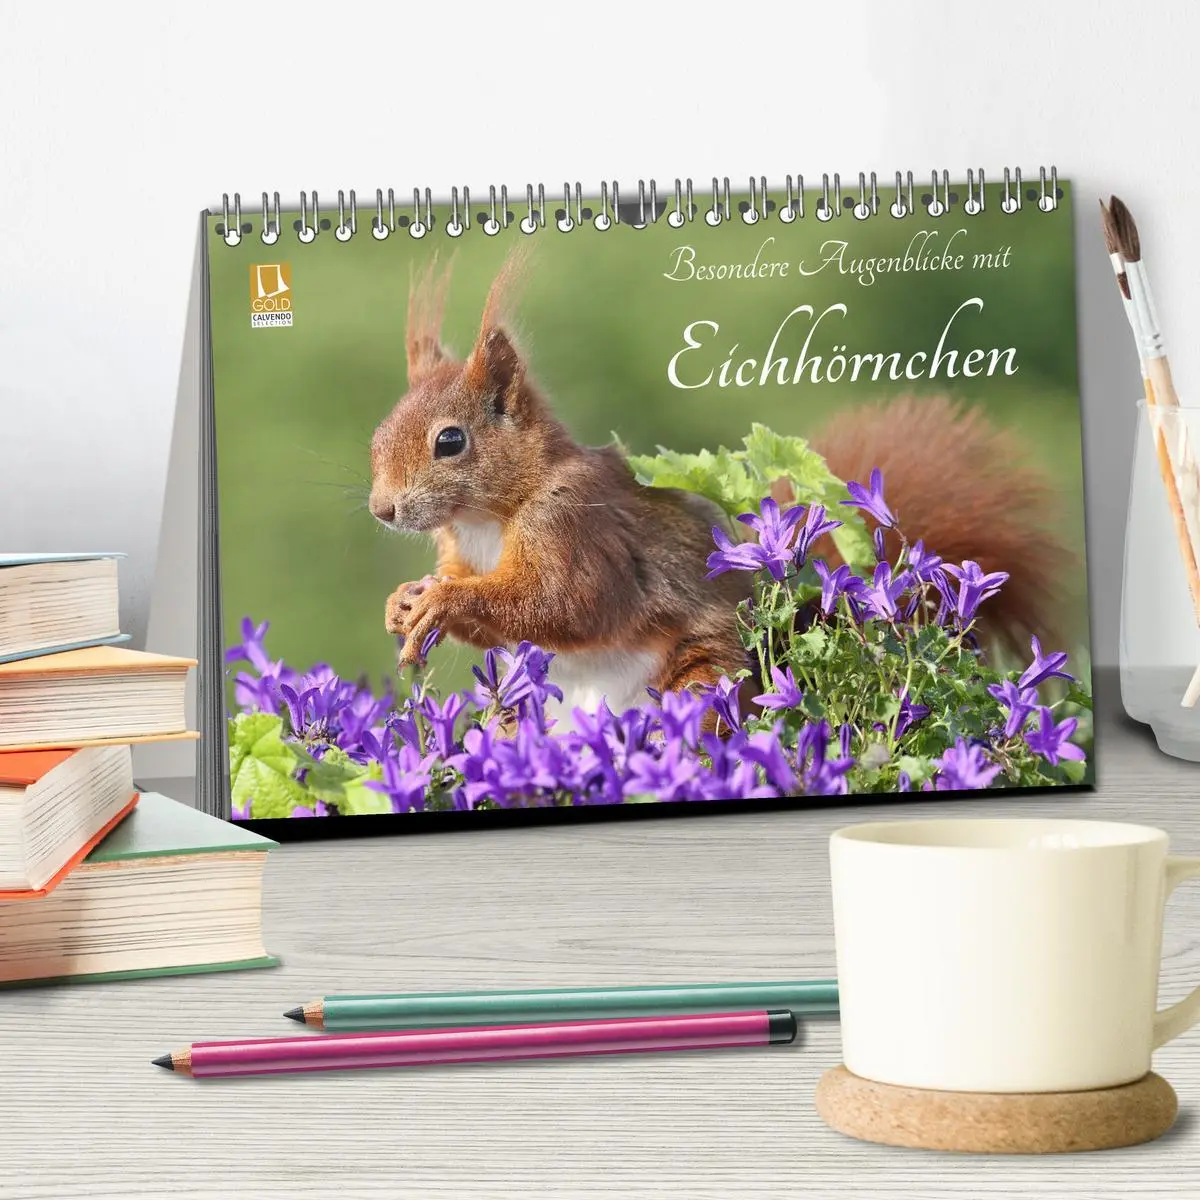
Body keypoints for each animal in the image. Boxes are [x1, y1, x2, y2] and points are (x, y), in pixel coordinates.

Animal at [368, 253, 1075, 723]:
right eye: (377, 435)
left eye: (450, 441)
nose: (382, 510)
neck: (490, 515)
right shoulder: (459, 548)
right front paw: (403, 603)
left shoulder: (573, 525)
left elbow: (565, 603)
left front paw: (442, 604)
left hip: (706, 677)